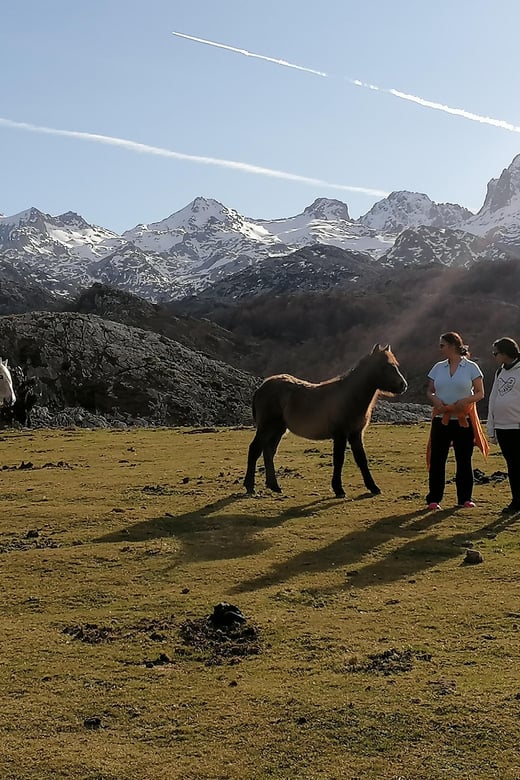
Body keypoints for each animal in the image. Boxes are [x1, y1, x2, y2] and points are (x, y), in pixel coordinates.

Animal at [244, 344, 406, 496]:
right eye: (385, 366)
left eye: (395, 365)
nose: (403, 385)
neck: (349, 397)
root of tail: (261, 388)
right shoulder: (340, 435)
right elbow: (339, 460)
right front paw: (338, 489)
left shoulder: (355, 434)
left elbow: (361, 460)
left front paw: (373, 487)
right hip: (267, 427)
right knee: (255, 449)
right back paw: (250, 487)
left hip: (278, 429)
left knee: (268, 452)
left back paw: (274, 486)